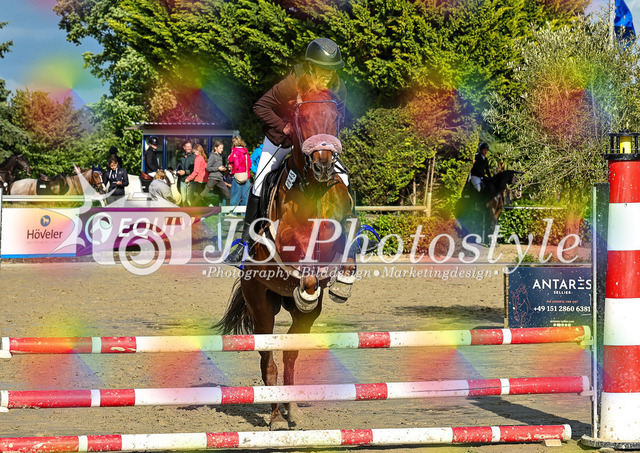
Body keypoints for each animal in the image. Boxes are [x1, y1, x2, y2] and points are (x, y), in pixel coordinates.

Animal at [216, 86, 356, 430]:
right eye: (301, 119)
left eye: (334, 119)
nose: (323, 167)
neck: (314, 187)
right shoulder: (284, 239)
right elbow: (302, 254)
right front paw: (309, 284)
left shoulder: (342, 218)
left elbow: (345, 237)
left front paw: (342, 281)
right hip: (260, 303)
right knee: (268, 359)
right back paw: (277, 417)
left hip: (302, 317)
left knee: (290, 353)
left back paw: (291, 411)